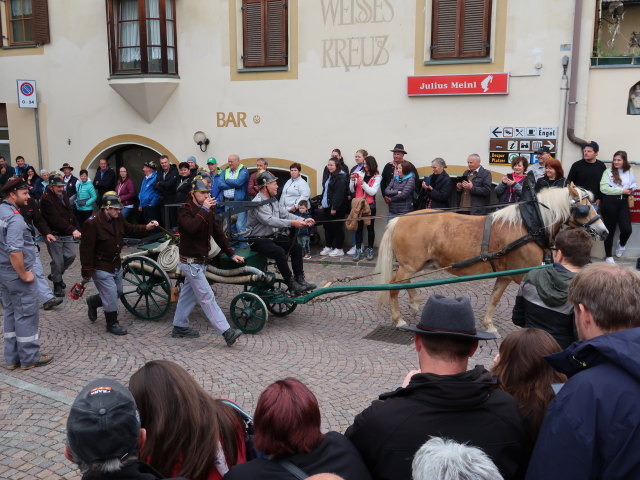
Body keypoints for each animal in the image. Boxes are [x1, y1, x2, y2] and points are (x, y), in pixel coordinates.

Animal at [378, 185, 608, 334]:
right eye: (584, 208)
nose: (604, 231)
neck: (528, 226)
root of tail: (400, 219)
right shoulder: (522, 274)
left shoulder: (505, 275)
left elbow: (495, 298)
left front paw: (488, 324)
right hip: (410, 264)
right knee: (393, 285)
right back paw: (399, 319)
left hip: (417, 264)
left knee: (403, 282)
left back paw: (415, 302)